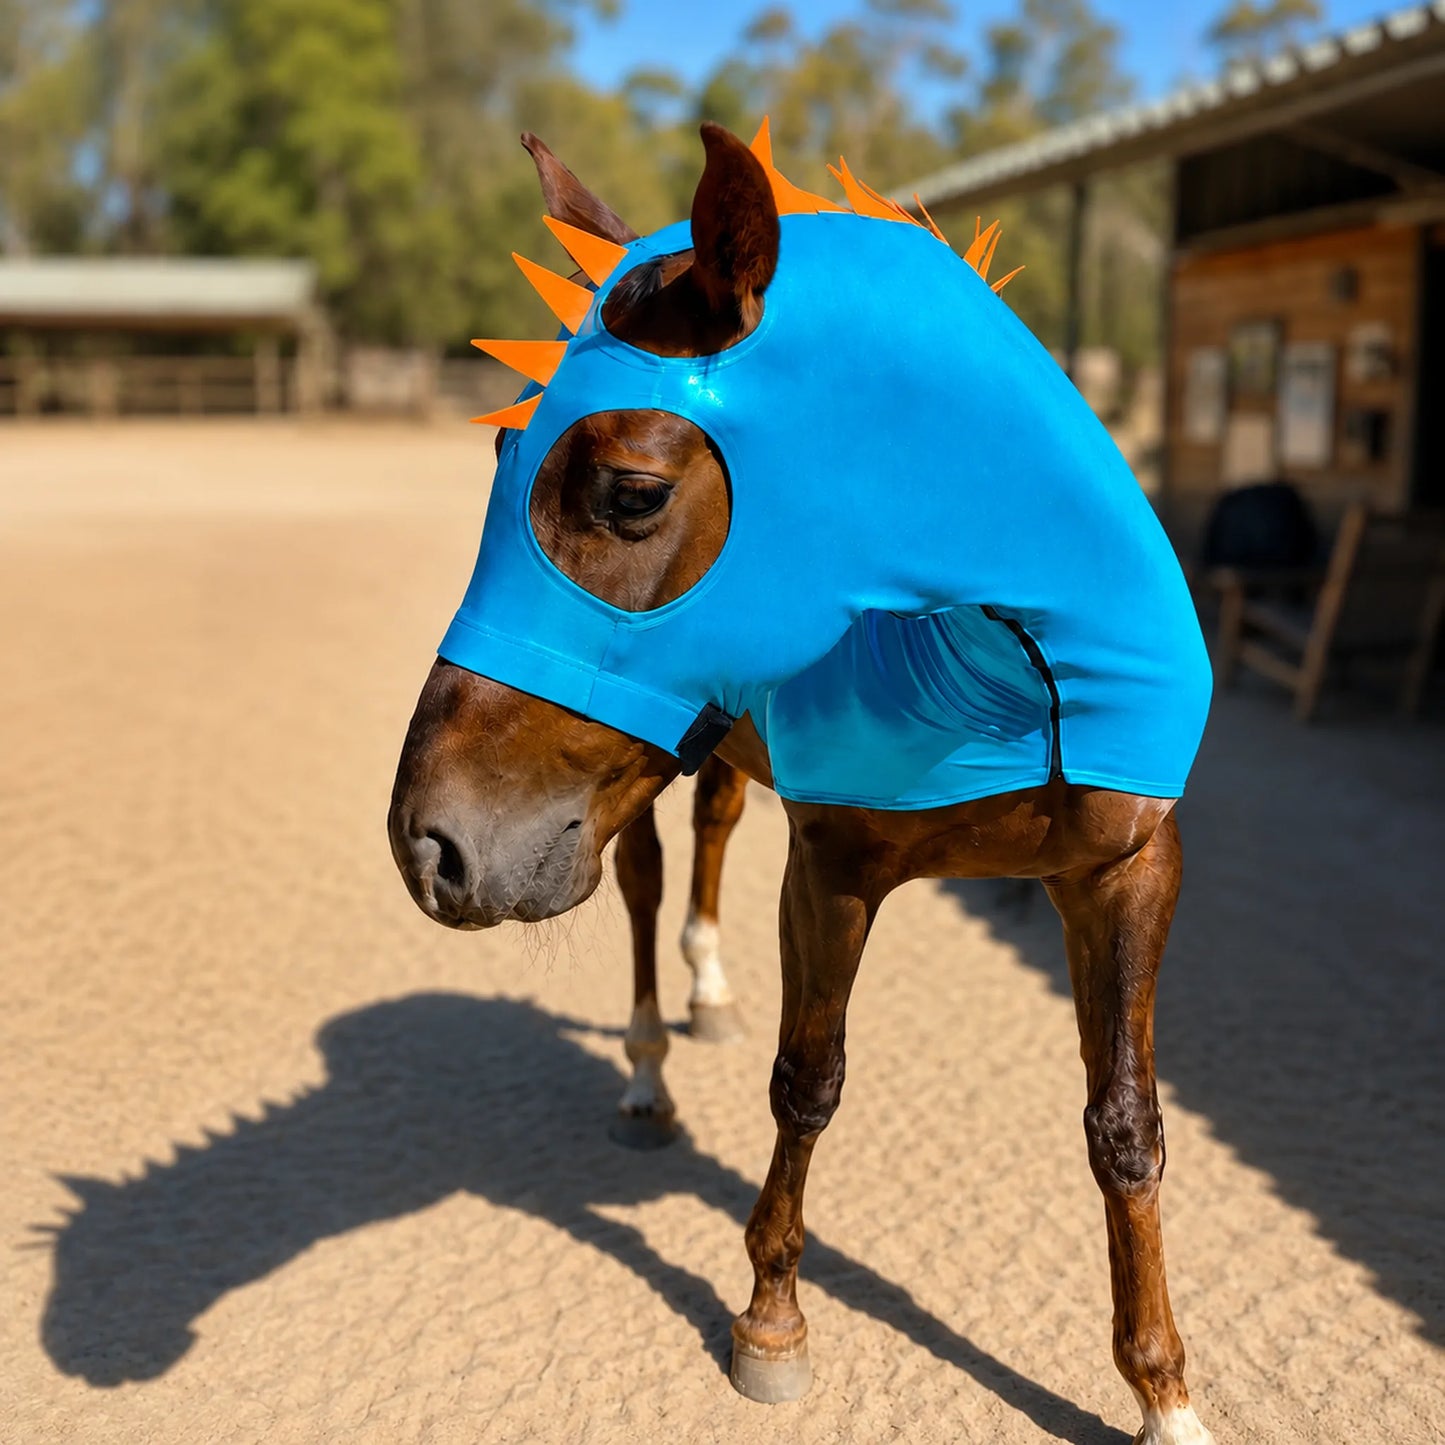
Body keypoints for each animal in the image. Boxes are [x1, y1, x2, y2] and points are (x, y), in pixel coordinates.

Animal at [388, 123, 1215, 1445]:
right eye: (503, 449)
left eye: (629, 491)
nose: (428, 842)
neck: (1001, 675)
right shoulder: (834, 867)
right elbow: (807, 1081)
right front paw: (771, 1319)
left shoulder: (1126, 871)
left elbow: (1125, 1123)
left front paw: (1162, 1390)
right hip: (632, 787)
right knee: (645, 885)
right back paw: (647, 1072)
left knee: (713, 837)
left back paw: (709, 991)